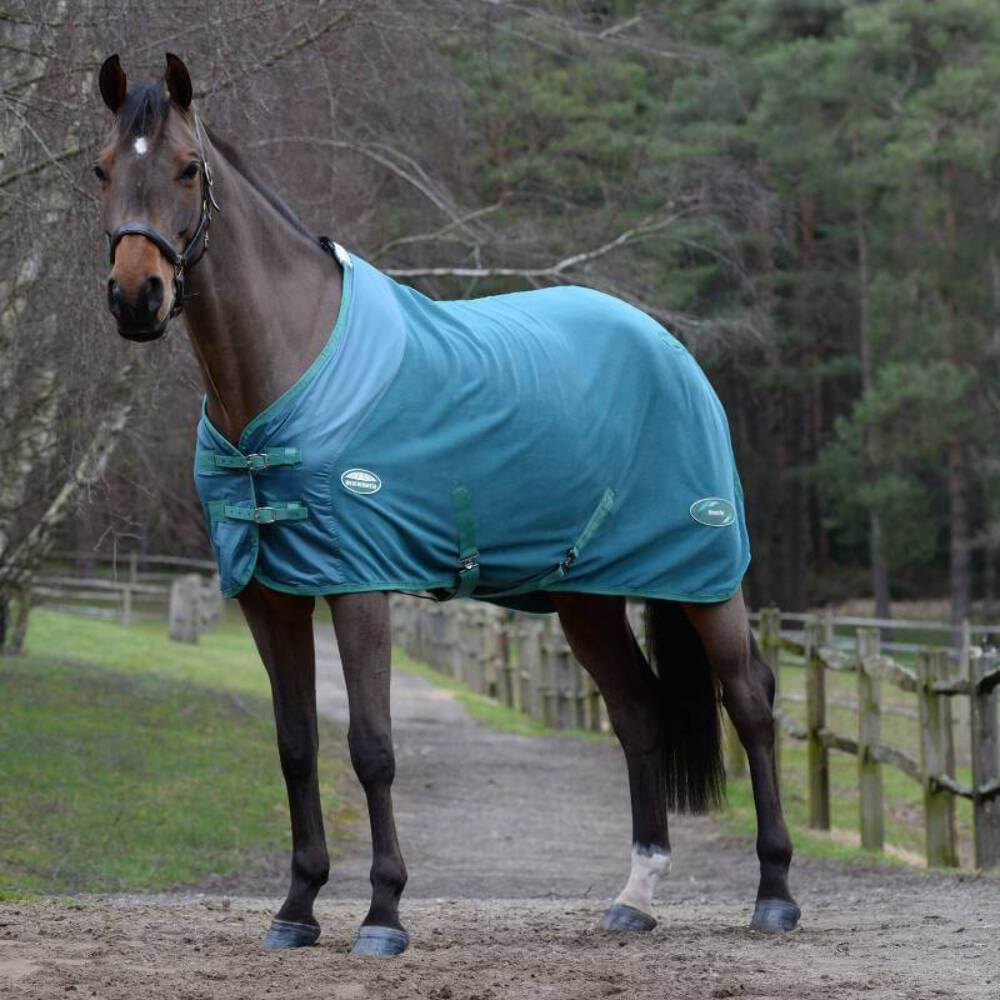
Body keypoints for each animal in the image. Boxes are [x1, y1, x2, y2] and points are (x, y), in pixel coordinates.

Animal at [93, 53, 798, 956]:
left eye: (187, 168)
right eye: (102, 168)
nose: (136, 298)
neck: (288, 364)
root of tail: (672, 349)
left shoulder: (359, 586)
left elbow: (372, 747)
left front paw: (383, 915)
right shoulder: (268, 597)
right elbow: (296, 746)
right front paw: (296, 909)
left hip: (707, 579)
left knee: (752, 701)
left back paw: (774, 894)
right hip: (588, 598)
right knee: (638, 711)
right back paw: (635, 897)